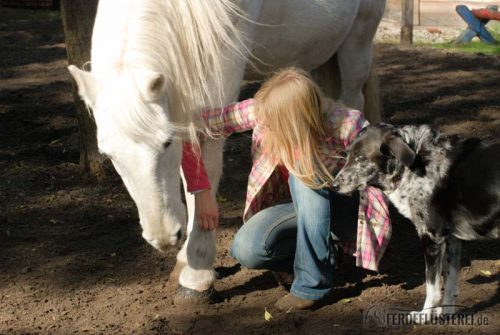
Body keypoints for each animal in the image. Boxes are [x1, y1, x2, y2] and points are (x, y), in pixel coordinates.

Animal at [68, 0, 384, 300]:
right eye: (108, 155)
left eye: (167, 142)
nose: (164, 237)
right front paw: (185, 260)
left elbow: (205, 169)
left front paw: (196, 274)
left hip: (356, 45)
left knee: (352, 99)